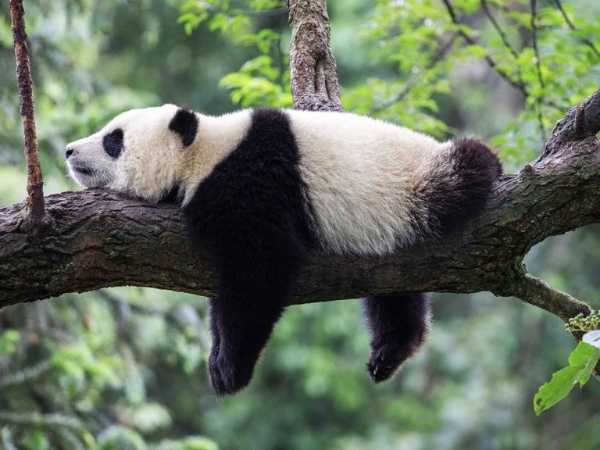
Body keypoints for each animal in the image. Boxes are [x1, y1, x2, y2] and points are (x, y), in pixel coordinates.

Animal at [66, 104, 502, 395]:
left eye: (113, 139)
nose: (69, 150)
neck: (204, 151)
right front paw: (218, 356)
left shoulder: (252, 183)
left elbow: (259, 271)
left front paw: (230, 368)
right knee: (394, 292)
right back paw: (390, 350)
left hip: (419, 184)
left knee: (466, 168)